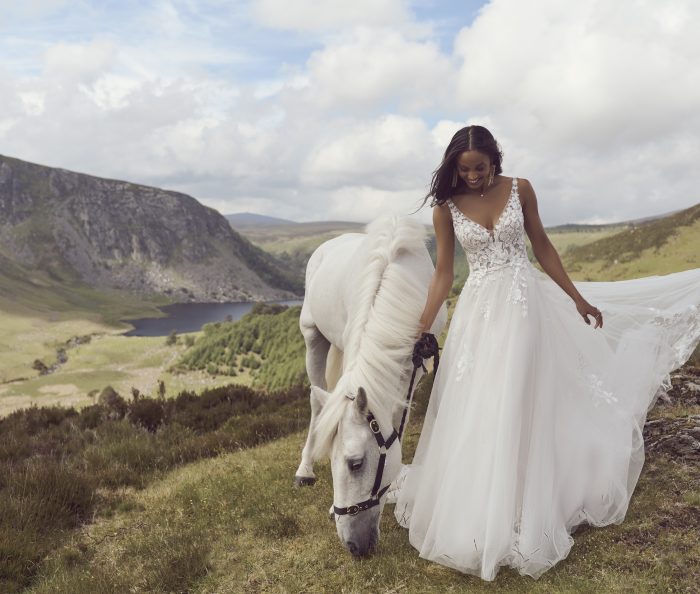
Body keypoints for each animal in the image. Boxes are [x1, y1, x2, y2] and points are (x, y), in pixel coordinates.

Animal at [292, 216, 446, 556]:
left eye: (356, 464)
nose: (353, 545)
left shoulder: (414, 364)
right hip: (313, 337)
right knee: (316, 401)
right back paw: (304, 469)